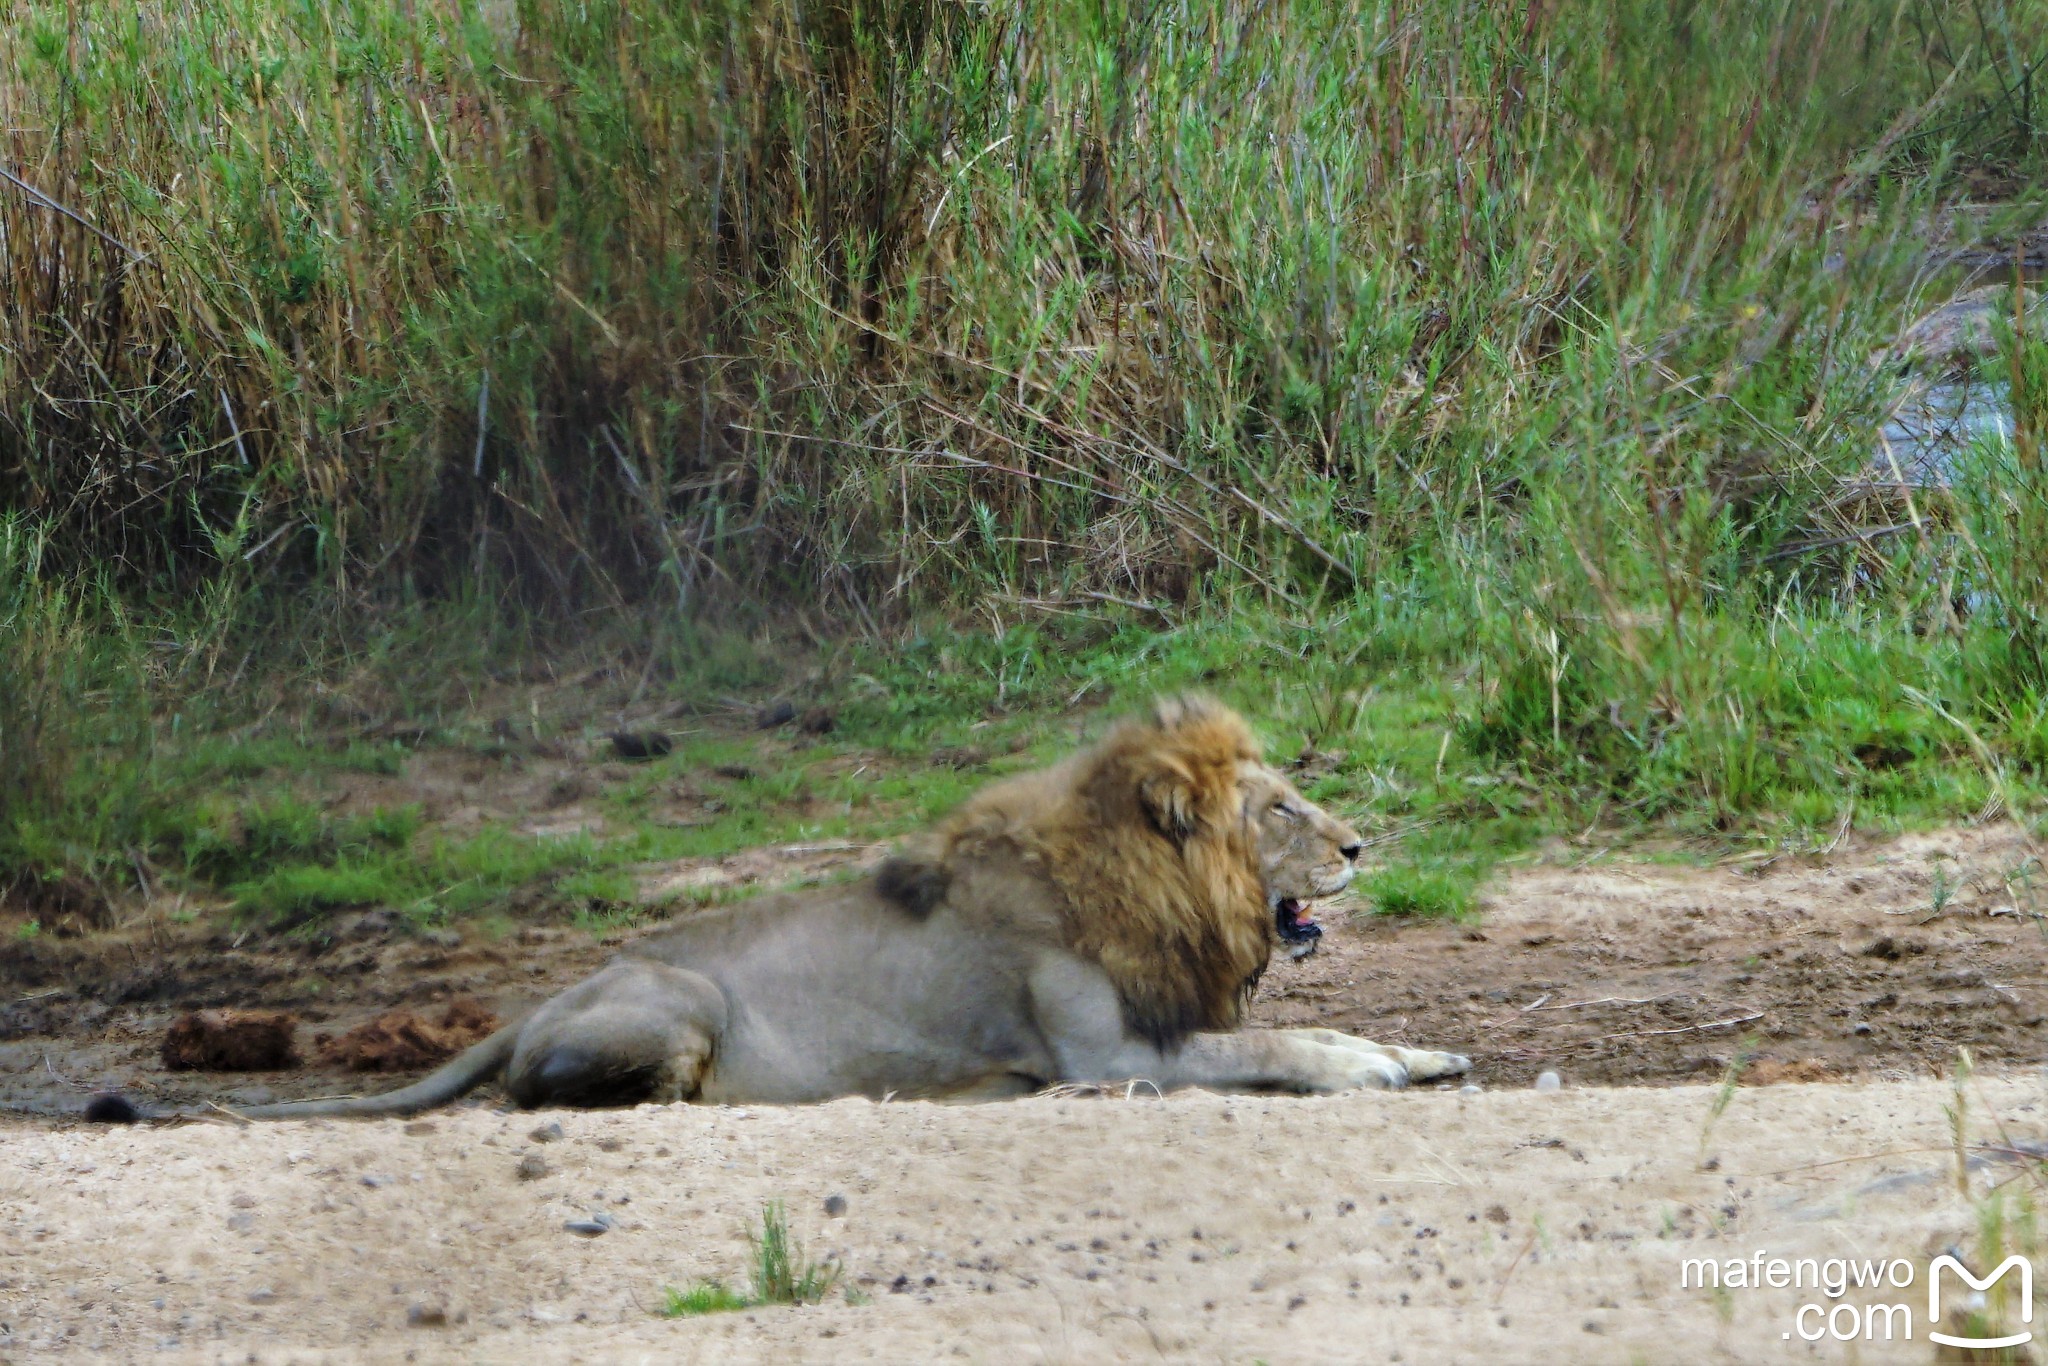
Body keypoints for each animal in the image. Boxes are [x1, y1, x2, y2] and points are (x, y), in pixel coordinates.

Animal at [116, 700, 1474, 1114]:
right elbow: (1277, 1039)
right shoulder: (1104, 1046)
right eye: (1280, 810)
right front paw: (1364, 1068)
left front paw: (1425, 1053)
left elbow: (1322, 1024)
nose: (1360, 843)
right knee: (554, 1091)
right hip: (679, 1001)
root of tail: (542, 993)